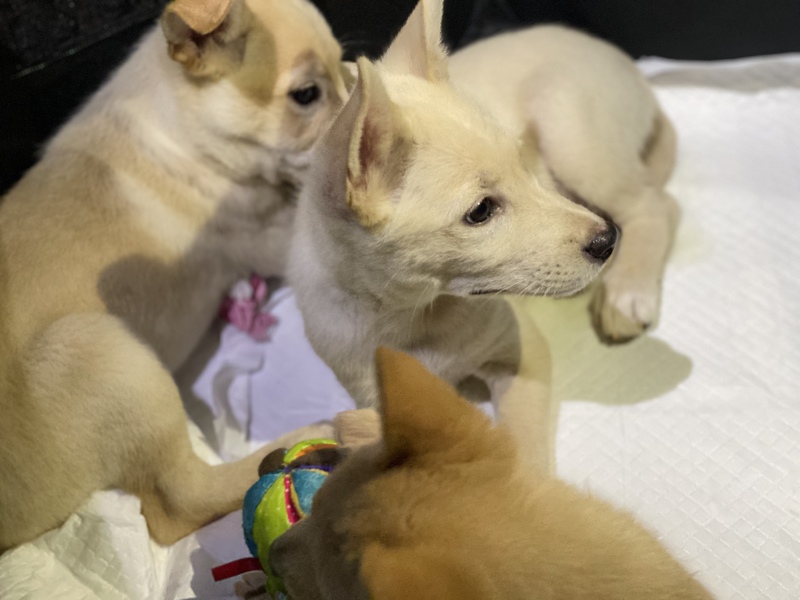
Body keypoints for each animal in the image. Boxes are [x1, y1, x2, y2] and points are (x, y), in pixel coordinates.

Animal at [0, 0, 348, 552]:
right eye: (306, 96)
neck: (186, 131)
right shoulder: (268, 236)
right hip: (106, 354)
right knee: (178, 504)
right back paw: (306, 438)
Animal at [289, 0, 616, 474]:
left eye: (522, 162)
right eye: (480, 211)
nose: (607, 241)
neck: (415, 315)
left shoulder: (523, 352)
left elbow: (524, 445)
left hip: (575, 140)